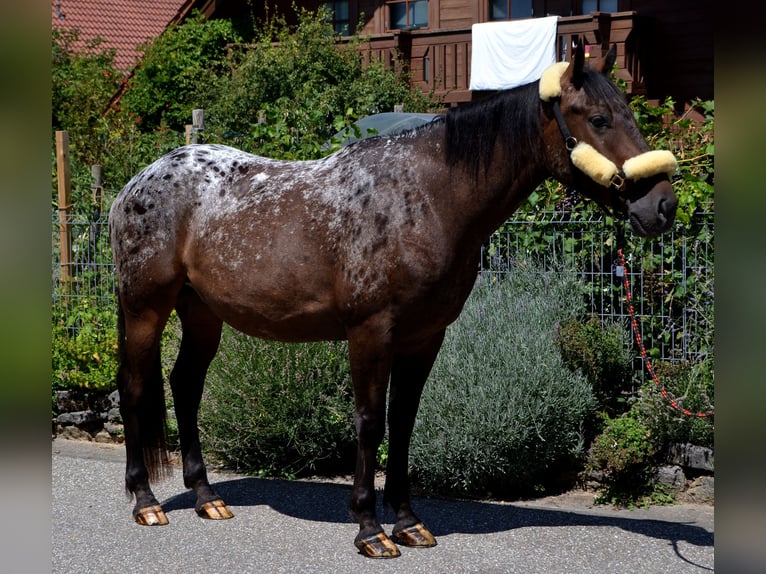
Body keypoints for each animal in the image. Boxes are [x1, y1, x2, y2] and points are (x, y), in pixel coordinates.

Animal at [108, 43, 677, 559]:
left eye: (629, 112)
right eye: (599, 118)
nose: (663, 206)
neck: (429, 197)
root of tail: (134, 184)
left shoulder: (424, 337)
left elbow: (403, 422)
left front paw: (406, 522)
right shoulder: (370, 332)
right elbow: (369, 421)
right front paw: (369, 528)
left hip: (201, 312)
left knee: (185, 386)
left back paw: (206, 497)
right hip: (145, 308)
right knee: (135, 387)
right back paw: (146, 501)